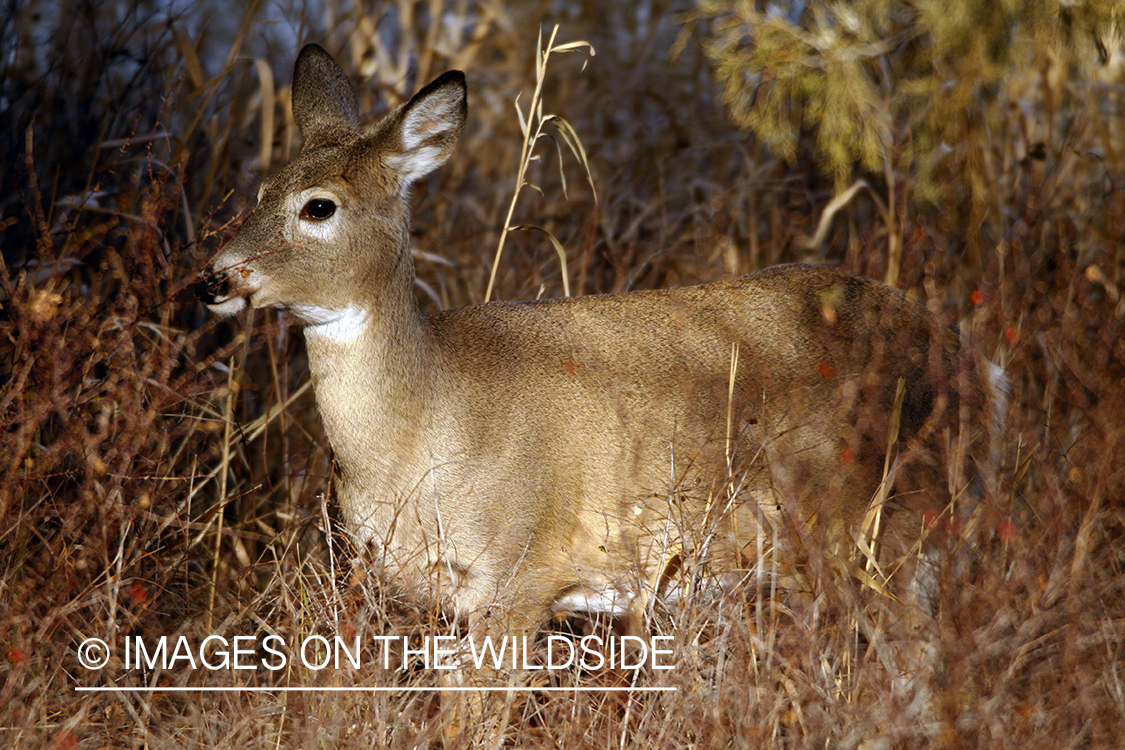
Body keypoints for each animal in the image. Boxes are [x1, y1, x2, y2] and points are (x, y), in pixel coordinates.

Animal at [198, 45, 1008, 656]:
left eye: (319, 207)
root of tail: (976, 367)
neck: (424, 426)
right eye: (259, 188)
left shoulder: (519, 573)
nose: (214, 277)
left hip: (887, 528)